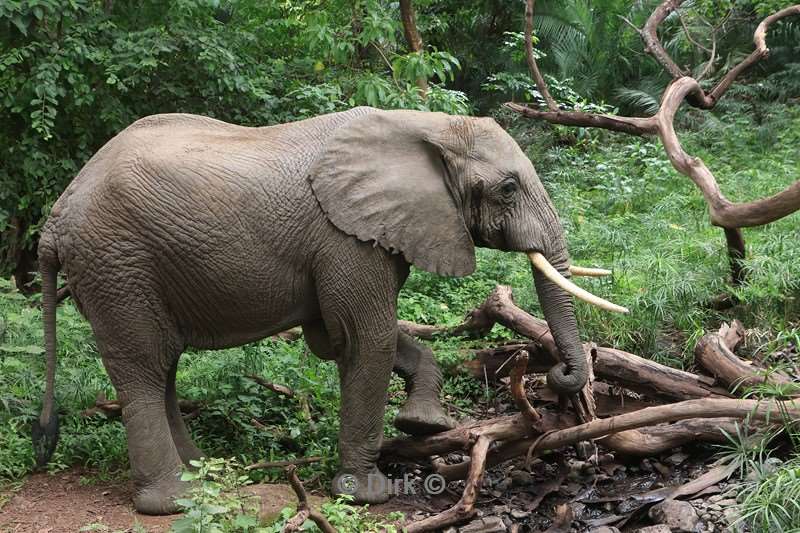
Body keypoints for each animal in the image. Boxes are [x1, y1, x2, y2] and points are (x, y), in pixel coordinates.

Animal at [32, 105, 624, 516]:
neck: (423, 124)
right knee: (145, 368)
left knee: (165, 369)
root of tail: (54, 221)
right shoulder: (346, 238)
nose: (560, 374)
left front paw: (424, 424)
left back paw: (203, 476)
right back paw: (175, 501)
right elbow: (366, 338)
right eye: (506, 188)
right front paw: (367, 496)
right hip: (117, 263)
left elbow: (338, 338)